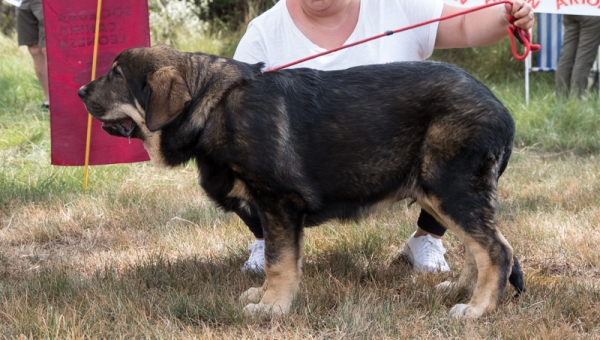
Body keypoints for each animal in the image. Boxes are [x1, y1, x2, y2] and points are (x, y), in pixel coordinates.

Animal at [78, 44, 520, 316]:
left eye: (116, 75)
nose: (80, 91)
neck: (214, 106)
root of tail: (503, 111)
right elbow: (280, 259)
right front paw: (267, 298)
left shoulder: (278, 203)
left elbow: (279, 261)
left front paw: (272, 307)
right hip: (439, 193)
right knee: (482, 248)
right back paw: (462, 291)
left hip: (451, 189)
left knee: (496, 250)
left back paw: (477, 309)